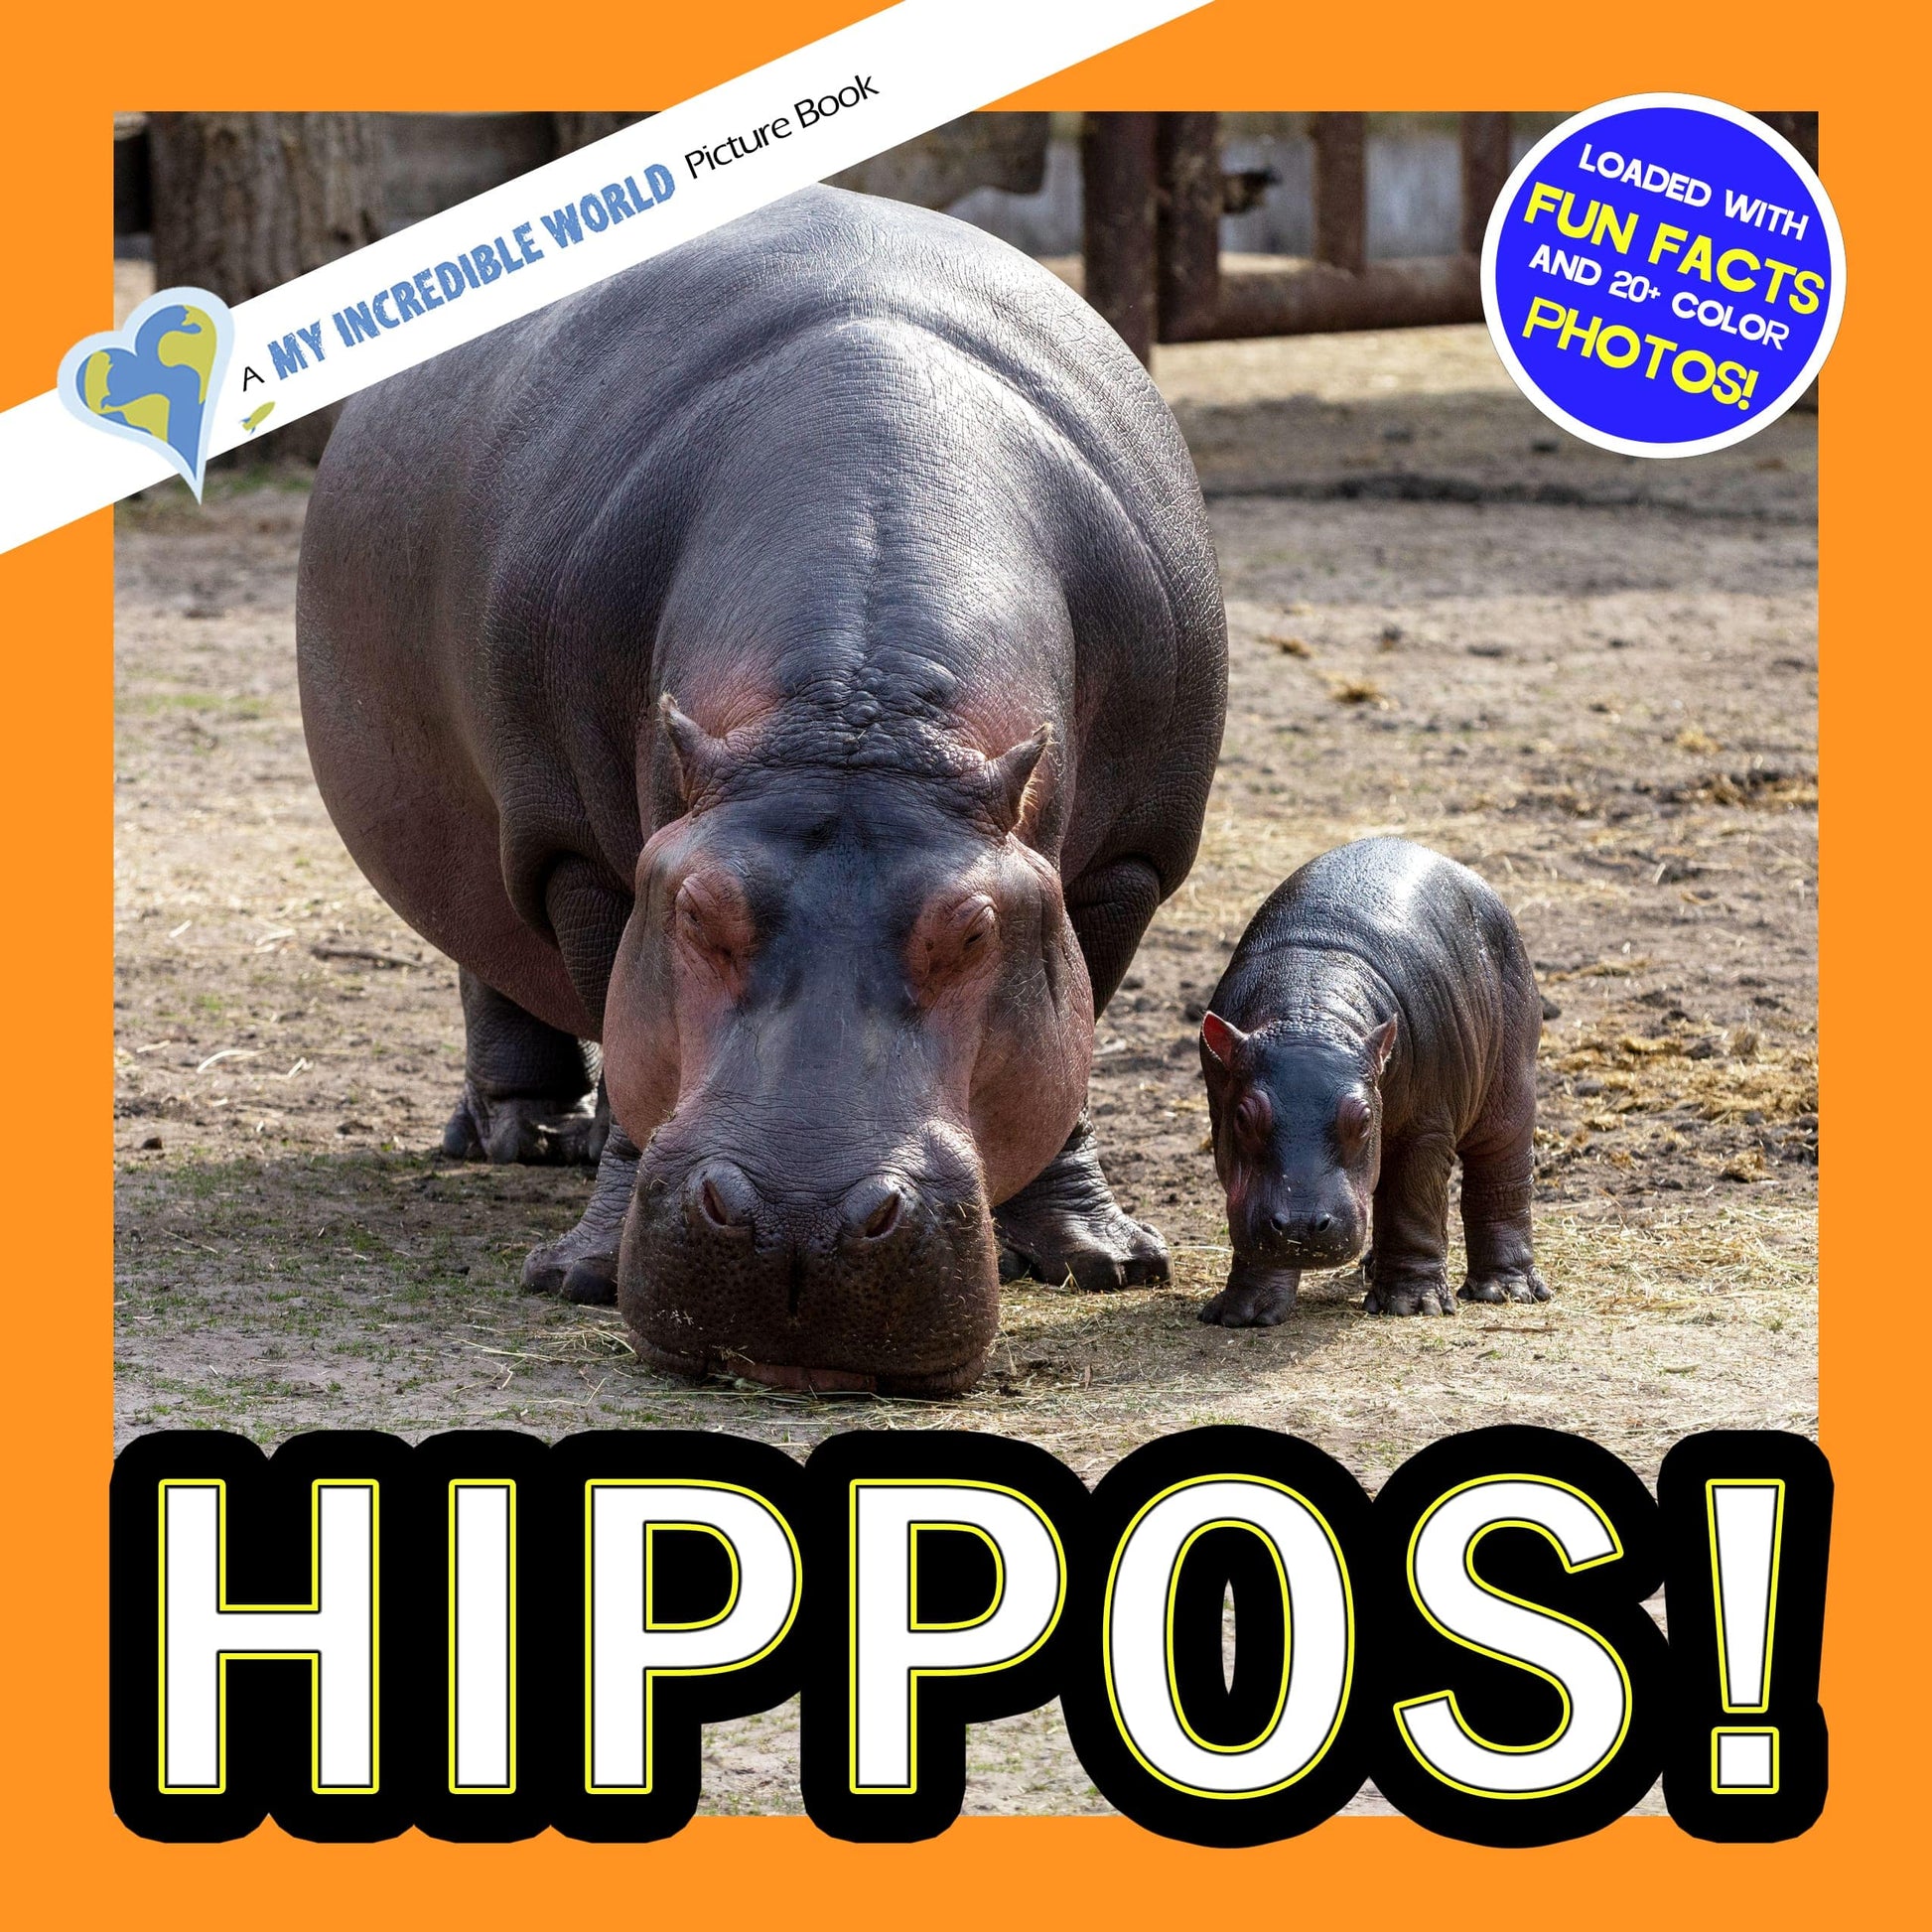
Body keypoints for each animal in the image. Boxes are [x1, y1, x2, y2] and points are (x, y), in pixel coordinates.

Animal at [296, 186, 1227, 1394]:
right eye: (696, 911)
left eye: (974, 929)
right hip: (486, 827)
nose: (799, 1221)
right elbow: (619, 1030)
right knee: (488, 955)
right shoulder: (579, 858)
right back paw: (525, 1139)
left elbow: (1071, 1038)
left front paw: (1098, 1259)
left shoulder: (1125, 864)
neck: (853, 720)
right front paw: (582, 1272)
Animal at [1196, 838, 1547, 1327]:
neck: (1309, 1004)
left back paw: (1506, 1290)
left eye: (1362, 1120)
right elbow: (1250, 1214)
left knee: (1501, 1175)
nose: (1301, 1224)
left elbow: (1412, 1207)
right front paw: (1243, 1312)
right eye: (1244, 1118)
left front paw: (1412, 1304)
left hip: (1510, 1087)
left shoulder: (1425, 1128)